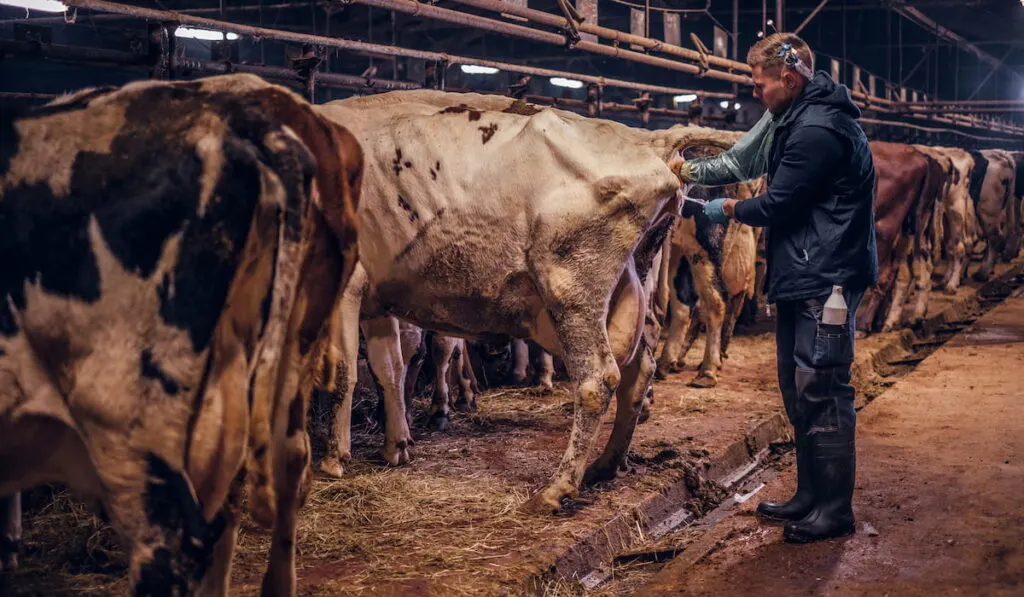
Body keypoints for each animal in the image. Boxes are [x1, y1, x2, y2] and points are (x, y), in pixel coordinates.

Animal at [307, 90, 733, 514]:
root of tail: (647, 140)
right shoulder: (377, 299)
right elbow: (387, 368)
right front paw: (395, 446)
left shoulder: (346, 286)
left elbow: (343, 370)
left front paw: (333, 458)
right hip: (631, 283)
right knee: (639, 367)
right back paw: (607, 463)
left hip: (572, 286)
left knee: (600, 377)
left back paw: (557, 487)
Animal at [655, 180, 761, 387]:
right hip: (681, 247)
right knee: (684, 302)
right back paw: (666, 363)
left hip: (705, 244)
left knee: (716, 300)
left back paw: (707, 371)